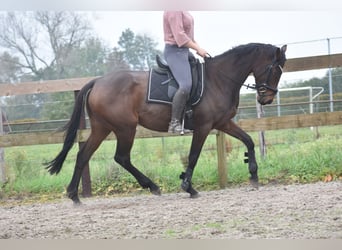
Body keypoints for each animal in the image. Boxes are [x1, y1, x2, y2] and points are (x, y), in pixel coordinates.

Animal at [45, 42, 286, 203]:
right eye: (274, 69)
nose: (266, 99)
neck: (218, 79)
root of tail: (97, 82)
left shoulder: (223, 123)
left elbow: (249, 141)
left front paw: (253, 174)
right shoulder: (203, 127)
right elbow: (193, 155)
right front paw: (188, 187)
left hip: (102, 128)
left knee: (83, 155)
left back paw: (74, 195)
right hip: (125, 128)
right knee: (121, 157)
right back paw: (151, 186)